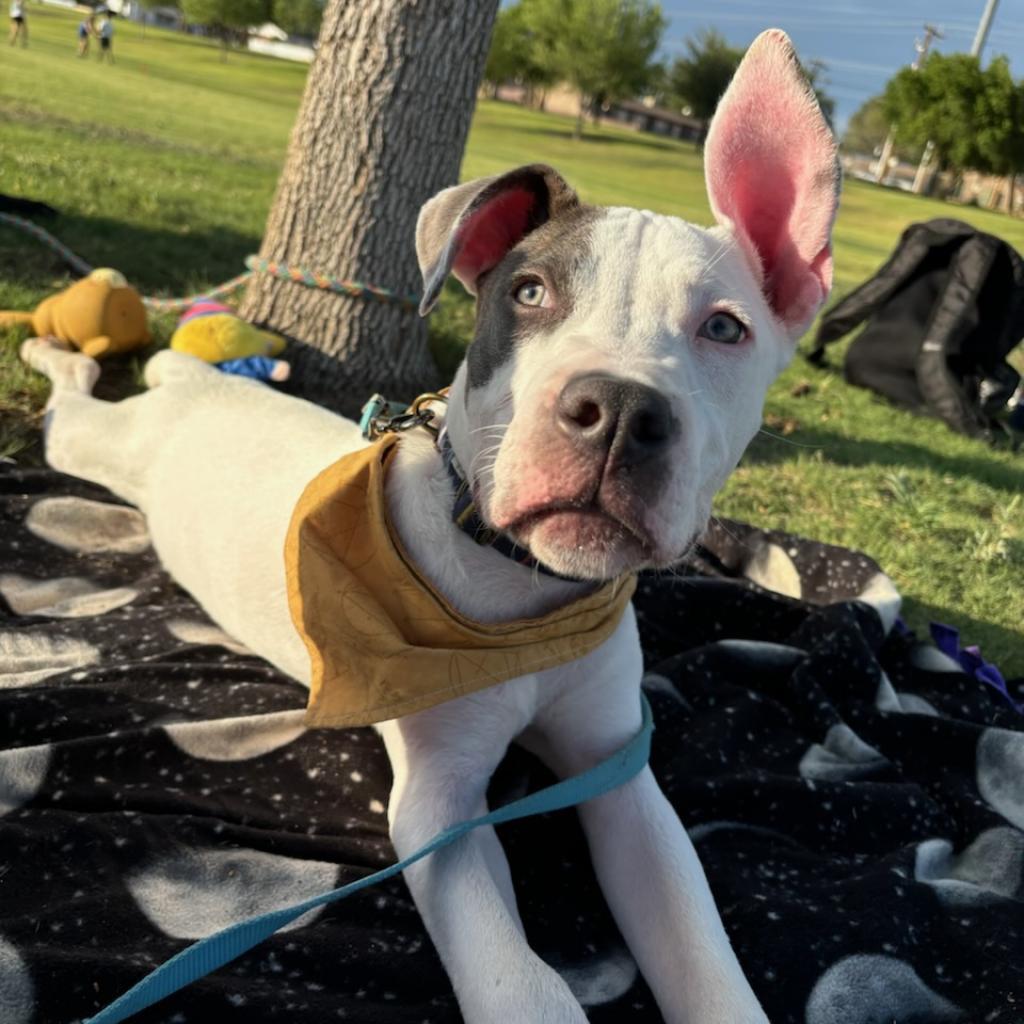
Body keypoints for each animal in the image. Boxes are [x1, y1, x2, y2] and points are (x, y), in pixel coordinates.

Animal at [25, 32, 839, 1024]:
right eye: (527, 293)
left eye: (724, 328)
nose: (615, 411)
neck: (523, 592)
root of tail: (204, 387)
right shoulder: (441, 806)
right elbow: (523, 983)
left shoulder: (619, 771)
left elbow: (698, 948)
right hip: (97, 442)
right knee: (70, 398)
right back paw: (50, 346)